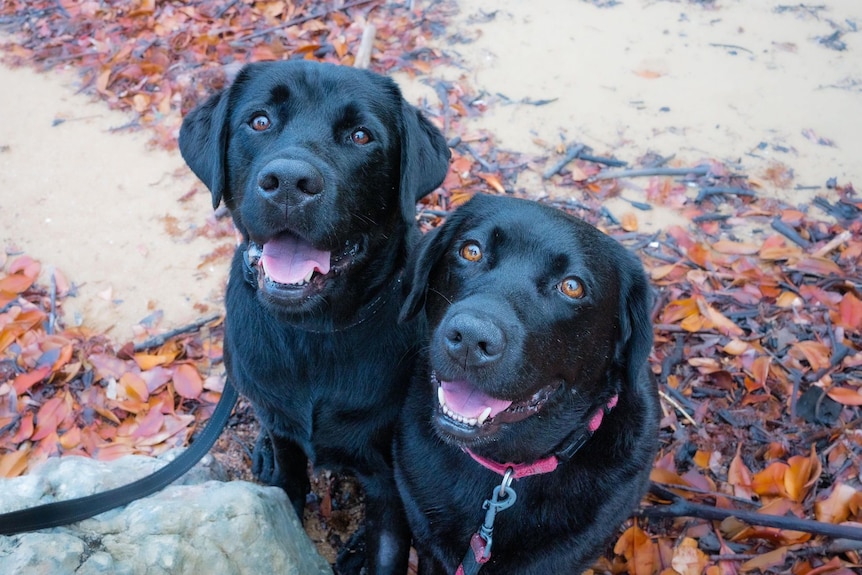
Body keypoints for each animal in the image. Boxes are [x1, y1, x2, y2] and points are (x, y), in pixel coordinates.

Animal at [181, 60, 452, 572]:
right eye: (259, 121)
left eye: (361, 136)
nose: (289, 182)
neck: (313, 332)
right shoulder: (284, 434)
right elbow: (286, 486)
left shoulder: (390, 483)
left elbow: (388, 547)